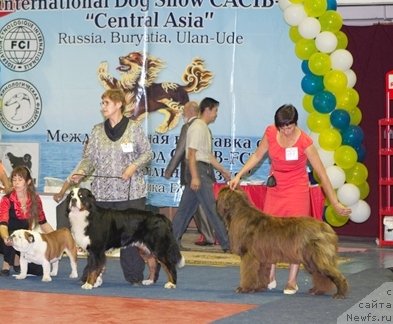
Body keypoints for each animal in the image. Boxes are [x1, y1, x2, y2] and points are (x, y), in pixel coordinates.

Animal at [216, 186, 348, 300]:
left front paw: (244, 288)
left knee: (334, 274)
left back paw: (340, 294)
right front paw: (258, 287)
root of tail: (326, 227)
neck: (239, 212)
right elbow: (259, 273)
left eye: (221, 192)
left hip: (316, 256)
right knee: (320, 275)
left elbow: (248, 273)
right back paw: (317, 290)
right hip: (311, 259)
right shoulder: (260, 257)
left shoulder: (249, 255)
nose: (216, 200)